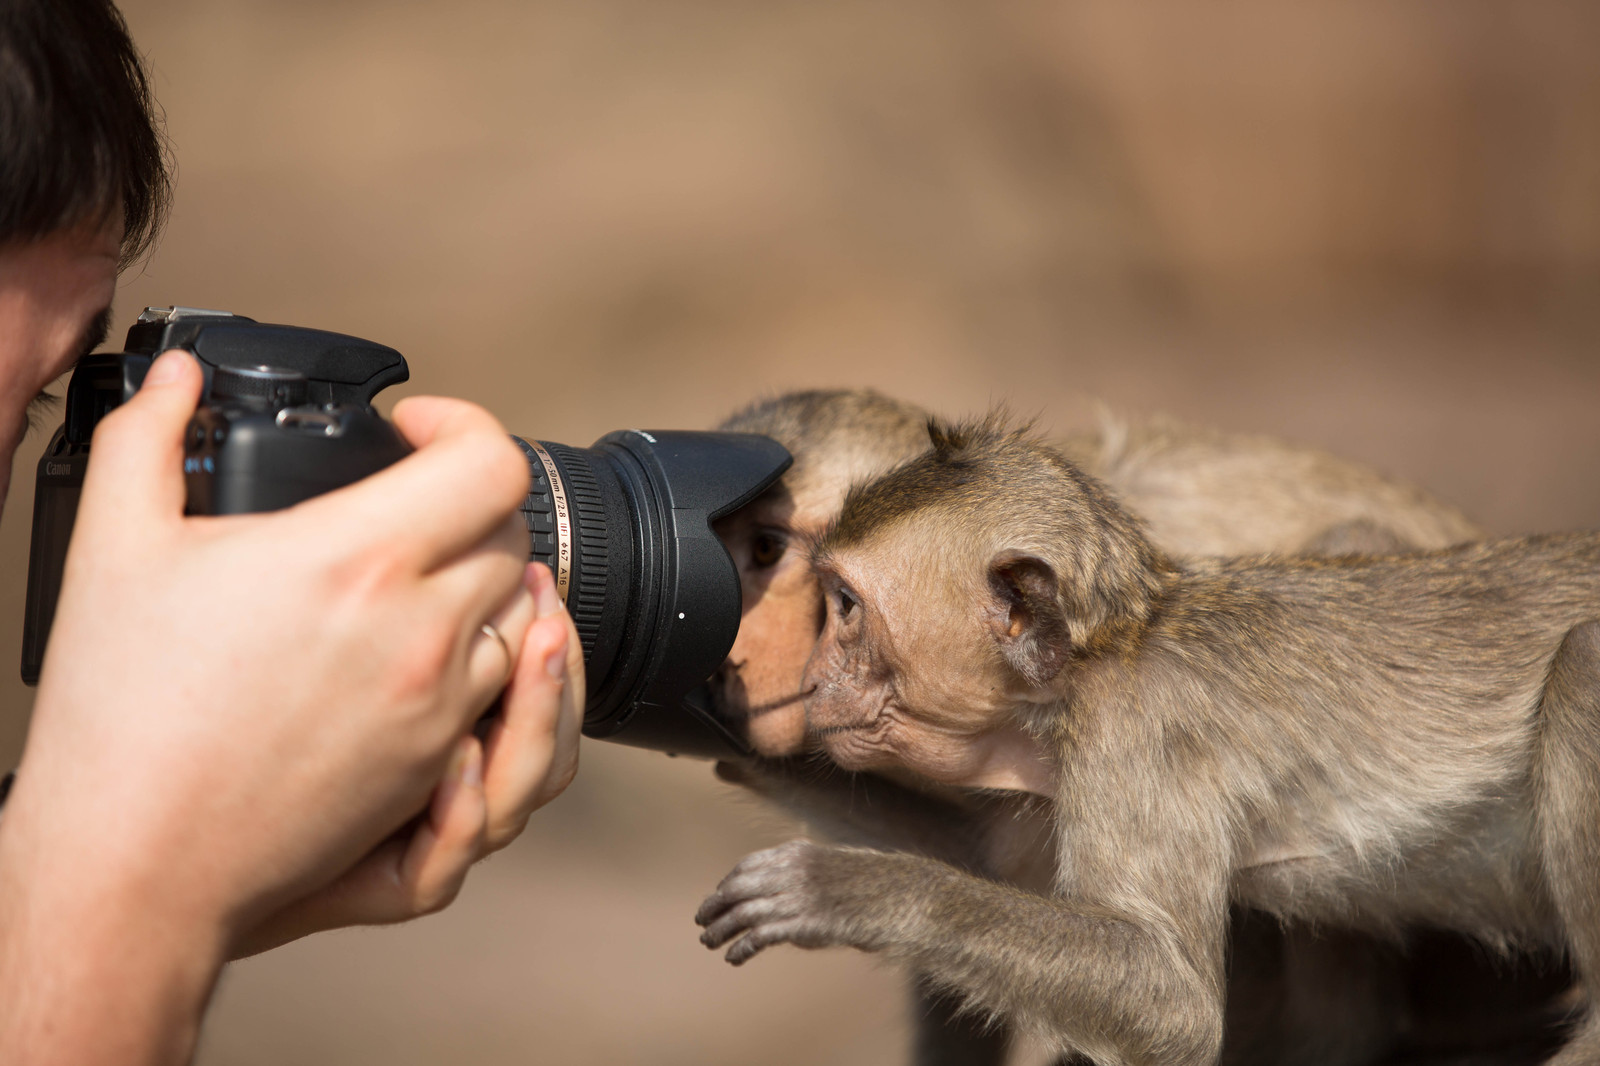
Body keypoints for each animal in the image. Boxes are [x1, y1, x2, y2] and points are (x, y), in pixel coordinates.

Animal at [691, 416, 1600, 1062]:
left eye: (843, 605)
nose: (811, 669)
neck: (1098, 658)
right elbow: (988, 859)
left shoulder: (1137, 739)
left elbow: (1172, 1000)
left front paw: (847, 888)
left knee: (1583, 662)